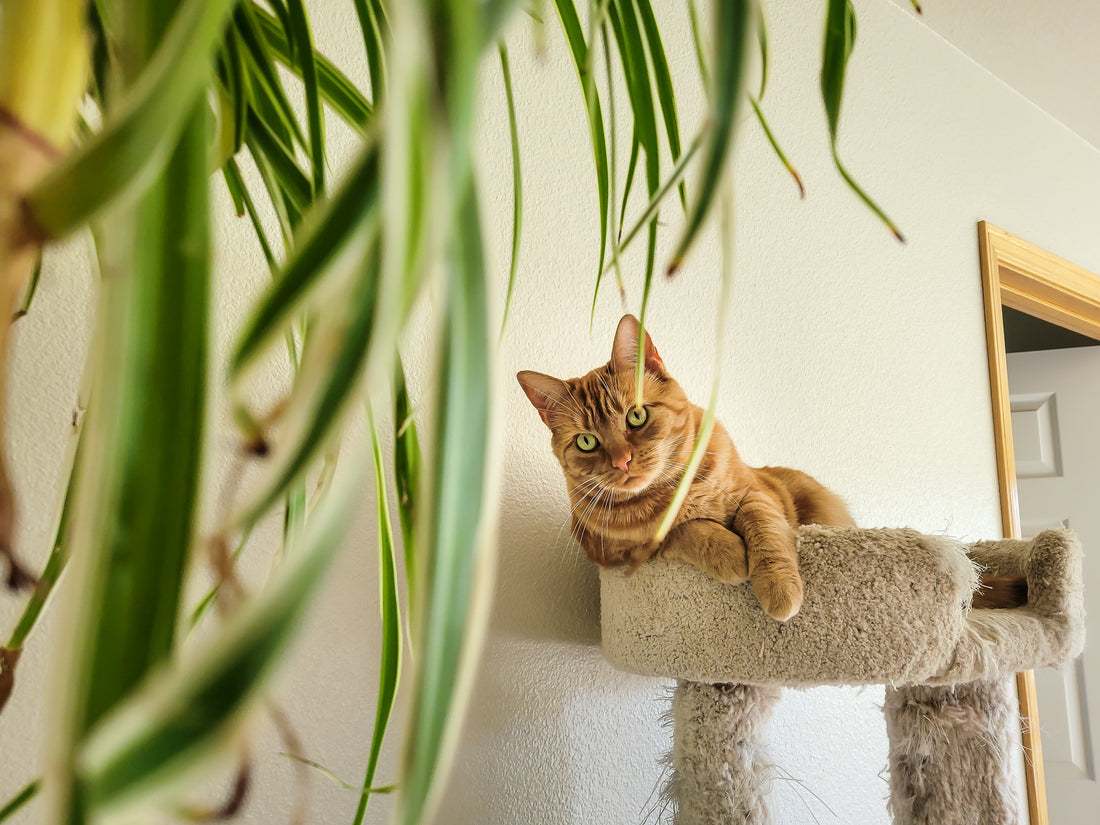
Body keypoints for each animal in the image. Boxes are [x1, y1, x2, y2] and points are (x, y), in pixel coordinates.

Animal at [519, 314, 853, 620]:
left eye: (636, 416)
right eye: (586, 442)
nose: (621, 461)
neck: (674, 491)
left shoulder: (756, 491)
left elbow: (764, 525)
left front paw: (778, 585)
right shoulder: (617, 553)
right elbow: (683, 530)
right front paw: (729, 552)